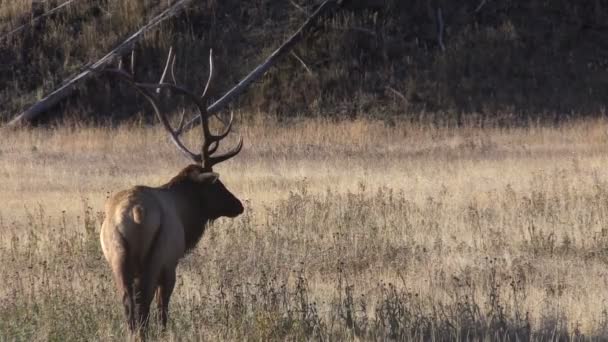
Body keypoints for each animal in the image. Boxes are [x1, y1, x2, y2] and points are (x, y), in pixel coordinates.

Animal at [99, 50, 242, 336]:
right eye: (218, 184)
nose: (238, 205)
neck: (185, 213)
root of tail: (136, 212)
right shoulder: (172, 261)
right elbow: (163, 307)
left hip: (117, 256)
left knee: (128, 303)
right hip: (157, 255)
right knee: (145, 303)